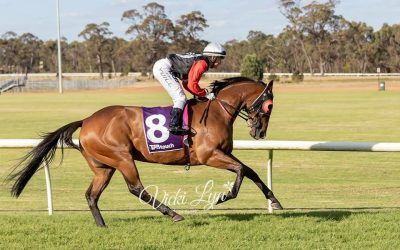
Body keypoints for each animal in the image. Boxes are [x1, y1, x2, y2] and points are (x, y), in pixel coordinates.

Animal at [8, 76, 284, 227]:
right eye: (270, 105)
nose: (260, 133)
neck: (218, 110)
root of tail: (86, 121)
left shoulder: (223, 153)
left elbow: (249, 170)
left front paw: (275, 200)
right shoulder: (209, 156)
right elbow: (240, 171)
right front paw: (223, 196)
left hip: (103, 167)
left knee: (91, 195)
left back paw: (102, 225)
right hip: (122, 158)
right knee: (135, 188)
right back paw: (173, 214)